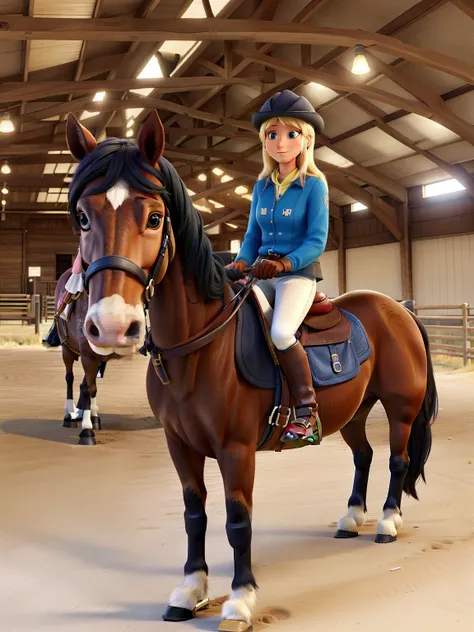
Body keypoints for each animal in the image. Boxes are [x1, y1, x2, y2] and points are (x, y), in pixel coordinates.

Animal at [65, 111, 438, 628]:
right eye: (83, 217)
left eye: (155, 218)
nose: (113, 326)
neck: (197, 349)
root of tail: (397, 307)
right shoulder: (180, 445)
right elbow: (195, 514)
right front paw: (189, 591)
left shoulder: (236, 450)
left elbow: (237, 520)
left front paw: (240, 600)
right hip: (355, 411)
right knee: (362, 455)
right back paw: (351, 518)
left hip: (400, 408)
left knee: (397, 460)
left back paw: (386, 521)